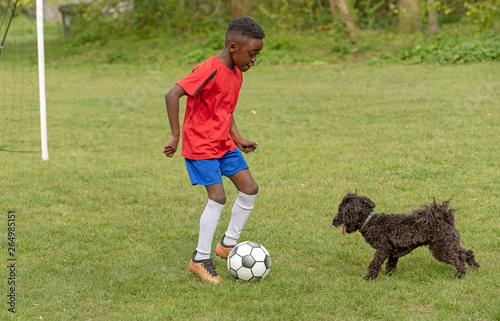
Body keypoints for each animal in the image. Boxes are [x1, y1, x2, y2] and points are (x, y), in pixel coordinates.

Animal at [332, 192, 480, 278]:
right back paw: (474, 267)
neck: (371, 221)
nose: (333, 222)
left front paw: (369, 277)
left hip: (441, 249)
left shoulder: (382, 248)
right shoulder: (392, 251)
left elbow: (375, 263)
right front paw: (389, 275)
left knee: (458, 259)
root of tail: (447, 220)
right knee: (466, 253)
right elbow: (391, 264)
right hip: (451, 244)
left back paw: (460, 274)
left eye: (341, 211)